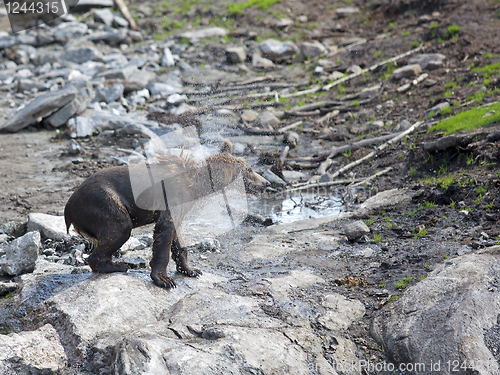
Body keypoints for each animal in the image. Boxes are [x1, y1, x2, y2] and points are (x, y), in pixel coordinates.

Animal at [65, 140, 270, 290]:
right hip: (103, 202)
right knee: (119, 229)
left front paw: (191, 269)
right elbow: (164, 232)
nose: (266, 183)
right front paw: (164, 280)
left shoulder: (183, 206)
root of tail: (68, 207)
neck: (196, 186)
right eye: (250, 169)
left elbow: (178, 238)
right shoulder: (173, 197)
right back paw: (118, 265)